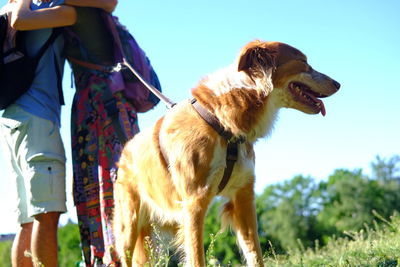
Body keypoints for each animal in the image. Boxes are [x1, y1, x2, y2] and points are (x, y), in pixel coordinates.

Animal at [112, 40, 340, 267]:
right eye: (303, 62)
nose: (338, 84)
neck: (223, 123)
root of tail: (126, 149)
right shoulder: (194, 202)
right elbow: (197, 256)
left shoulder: (243, 196)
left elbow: (255, 252)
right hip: (128, 225)